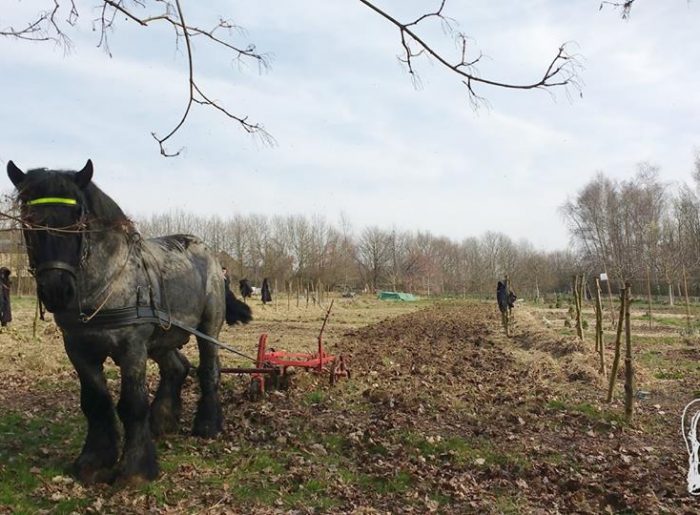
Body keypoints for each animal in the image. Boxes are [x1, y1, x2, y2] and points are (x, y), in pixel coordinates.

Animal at [5, 160, 252, 484]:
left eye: (78, 218)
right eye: (28, 220)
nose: (57, 289)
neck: (104, 284)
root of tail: (210, 255)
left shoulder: (132, 347)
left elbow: (133, 404)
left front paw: (136, 468)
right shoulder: (79, 350)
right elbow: (95, 402)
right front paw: (94, 460)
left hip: (208, 326)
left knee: (208, 369)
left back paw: (208, 424)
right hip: (163, 337)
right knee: (177, 367)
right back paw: (162, 421)